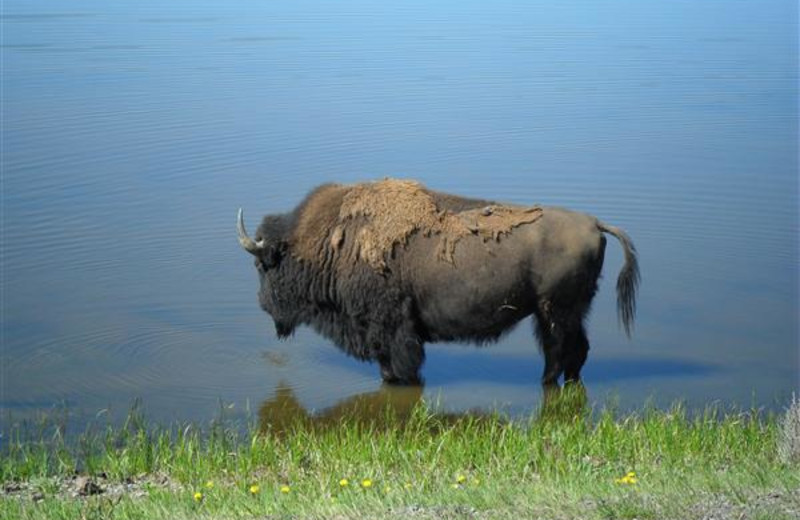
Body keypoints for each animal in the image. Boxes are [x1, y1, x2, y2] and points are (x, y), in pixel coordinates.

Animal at [236, 179, 636, 390]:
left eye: (262, 265)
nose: (262, 304)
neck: (330, 242)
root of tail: (594, 223)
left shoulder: (392, 331)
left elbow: (400, 368)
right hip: (565, 311)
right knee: (576, 351)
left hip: (554, 311)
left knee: (559, 351)